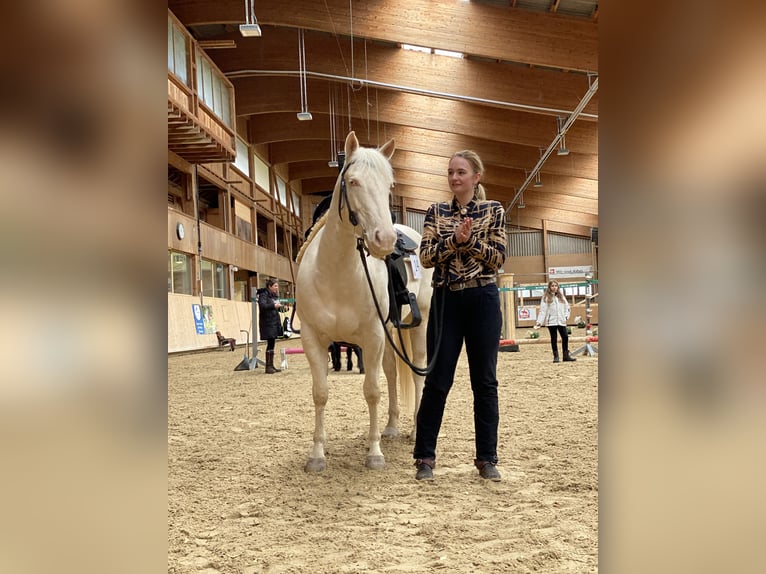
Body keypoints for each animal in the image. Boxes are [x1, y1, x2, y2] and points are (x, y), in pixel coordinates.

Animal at [296, 131, 433, 472]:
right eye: (353, 181)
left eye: (389, 185)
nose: (384, 240)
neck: (337, 273)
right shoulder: (313, 339)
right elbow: (320, 393)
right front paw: (317, 455)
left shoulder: (372, 336)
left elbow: (372, 391)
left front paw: (374, 453)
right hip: (390, 333)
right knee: (393, 373)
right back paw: (392, 427)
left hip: (418, 325)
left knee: (417, 369)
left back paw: (414, 429)